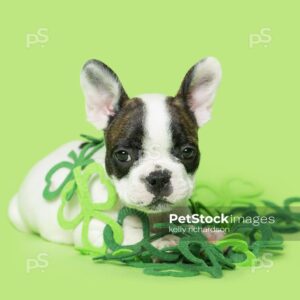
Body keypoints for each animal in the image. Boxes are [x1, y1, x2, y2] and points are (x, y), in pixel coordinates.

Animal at [8, 57, 221, 250]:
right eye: (123, 155)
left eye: (187, 152)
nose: (158, 178)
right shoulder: (95, 229)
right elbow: (132, 236)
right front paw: (162, 241)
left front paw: (205, 232)